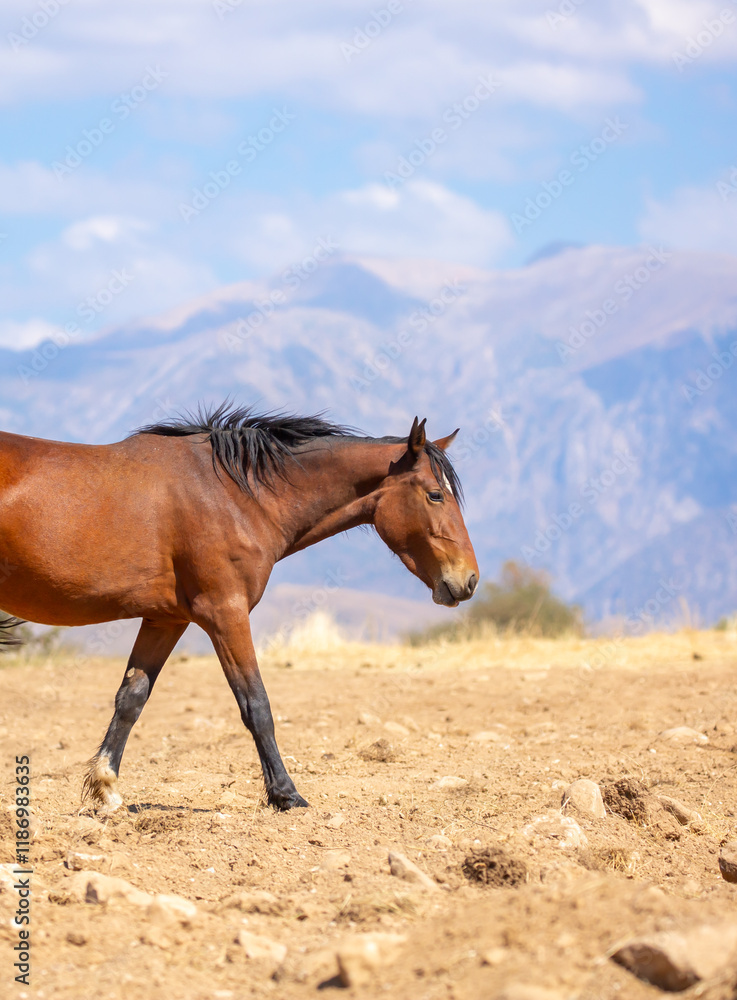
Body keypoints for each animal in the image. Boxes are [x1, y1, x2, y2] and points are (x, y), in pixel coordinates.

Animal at [0, 404, 479, 811]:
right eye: (435, 495)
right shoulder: (225, 613)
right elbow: (256, 705)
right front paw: (286, 795)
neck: (234, 495)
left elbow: (131, 698)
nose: (469, 579)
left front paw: (106, 788)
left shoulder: (166, 619)